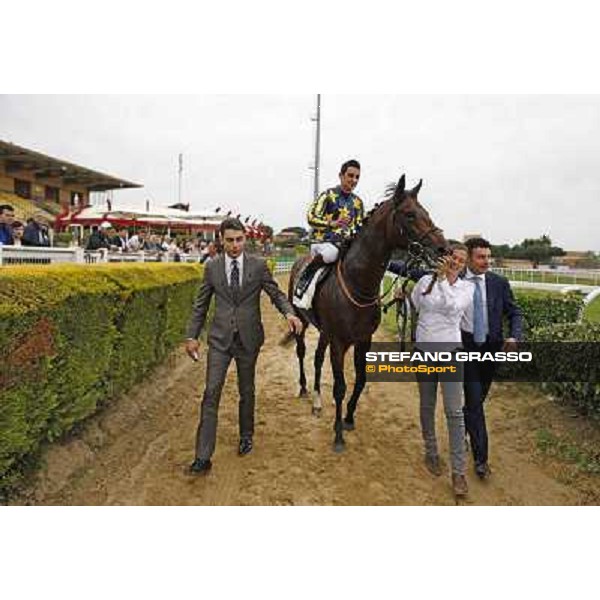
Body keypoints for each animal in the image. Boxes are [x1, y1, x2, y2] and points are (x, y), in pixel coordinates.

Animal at [288, 176, 448, 452]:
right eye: (409, 215)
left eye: (426, 213)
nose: (442, 248)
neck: (358, 284)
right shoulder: (339, 342)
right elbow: (340, 387)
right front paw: (338, 435)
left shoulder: (364, 340)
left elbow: (361, 379)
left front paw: (349, 418)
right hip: (301, 322)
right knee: (301, 352)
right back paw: (304, 388)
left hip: (324, 331)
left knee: (317, 359)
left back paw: (317, 402)